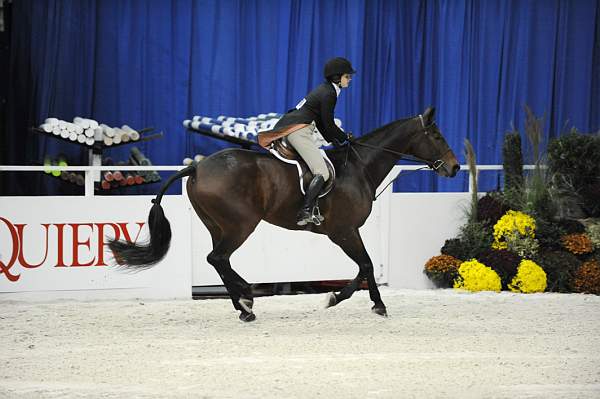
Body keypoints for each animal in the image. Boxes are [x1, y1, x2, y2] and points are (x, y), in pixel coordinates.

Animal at [109, 106, 460, 322]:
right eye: (437, 136)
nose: (455, 167)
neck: (359, 167)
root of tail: (197, 166)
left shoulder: (348, 232)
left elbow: (366, 266)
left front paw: (361, 301)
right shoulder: (344, 231)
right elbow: (365, 265)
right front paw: (352, 301)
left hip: (216, 225)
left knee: (219, 260)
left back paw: (245, 299)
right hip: (240, 225)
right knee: (217, 258)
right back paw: (246, 302)